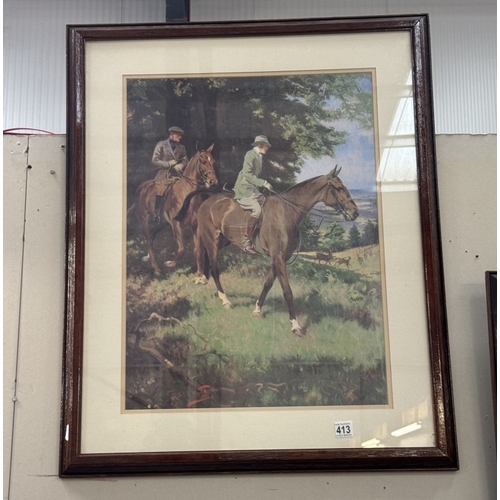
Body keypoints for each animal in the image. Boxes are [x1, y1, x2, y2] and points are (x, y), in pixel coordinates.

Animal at [127, 145, 217, 276]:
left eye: (213, 162)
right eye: (203, 161)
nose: (213, 182)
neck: (187, 195)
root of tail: (140, 188)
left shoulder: (195, 226)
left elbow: (198, 250)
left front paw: (200, 275)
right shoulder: (176, 225)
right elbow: (181, 250)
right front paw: (170, 264)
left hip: (160, 224)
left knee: (151, 238)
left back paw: (147, 258)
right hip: (143, 220)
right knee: (148, 240)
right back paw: (156, 268)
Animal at [192, 167, 360, 336]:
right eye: (338, 188)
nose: (355, 212)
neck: (287, 212)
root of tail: (207, 201)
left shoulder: (279, 258)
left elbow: (267, 283)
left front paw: (257, 310)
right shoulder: (278, 257)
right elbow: (287, 291)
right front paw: (295, 325)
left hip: (221, 242)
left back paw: (204, 281)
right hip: (212, 242)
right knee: (215, 269)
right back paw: (225, 300)